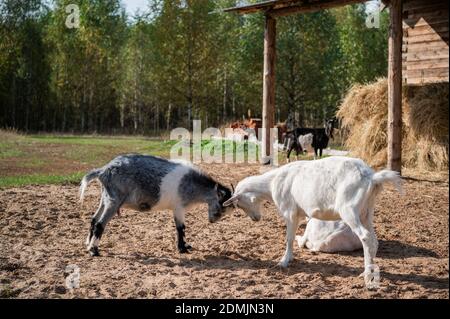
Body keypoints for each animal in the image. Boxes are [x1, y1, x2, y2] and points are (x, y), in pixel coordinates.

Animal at [79, 155, 232, 258]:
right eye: (222, 205)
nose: (213, 220)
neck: (192, 183)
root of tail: (103, 170)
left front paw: (185, 246)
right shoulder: (178, 207)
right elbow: (181, 228)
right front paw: (182, 249)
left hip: (105, 197)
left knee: (93, 219)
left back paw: (87, 244)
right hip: (114, 200)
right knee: (100, 224)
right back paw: (94, 250)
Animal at [223, 156, 402, 286]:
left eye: (239, 204)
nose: (256, 219)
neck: (272, 182)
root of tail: (372, 177)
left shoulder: (290, 213)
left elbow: (288, 238)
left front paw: (284, 261)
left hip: (349, 210)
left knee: (365, 236)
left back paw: (367, 275)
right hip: (366, 212)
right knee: (374, 239)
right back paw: (369, 270)